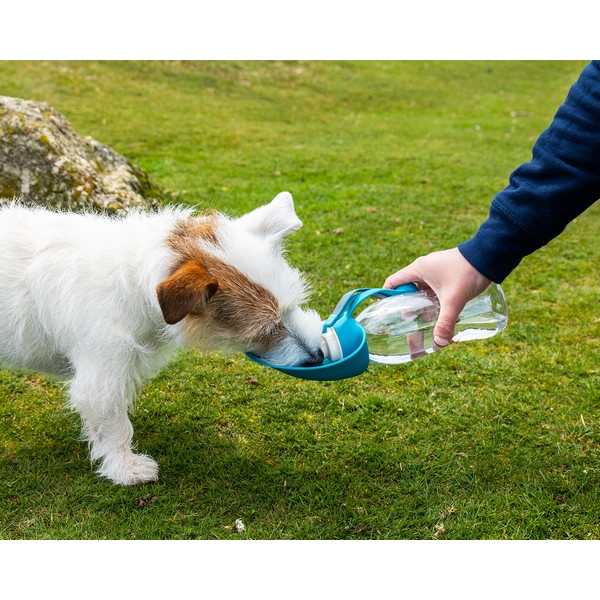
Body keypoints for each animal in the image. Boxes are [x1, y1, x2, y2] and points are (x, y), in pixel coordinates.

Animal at [0, 195, 324, 486]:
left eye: (293, 306)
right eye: (265, 330)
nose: (318, 357)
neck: (131, 281)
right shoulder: (101, 375)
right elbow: (113, 424)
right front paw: (124, 468)